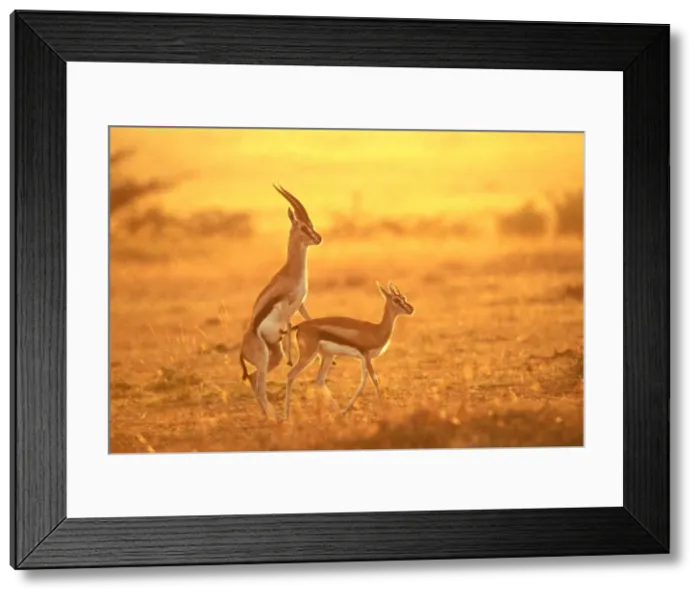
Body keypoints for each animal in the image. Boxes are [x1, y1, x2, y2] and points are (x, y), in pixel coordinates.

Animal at [238, 184, 322, 419]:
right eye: (303, 226)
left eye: (311, 224)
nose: (318, 238)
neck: (291, 272)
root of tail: (242, 349)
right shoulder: (285, 304)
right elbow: (290, 323)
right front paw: (292, 355)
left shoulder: (300, 303)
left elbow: (307, 319)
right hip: (265, 359)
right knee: (259, 385)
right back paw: (276, 418)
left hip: (272, 357)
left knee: (254, 379)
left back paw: (269, 416)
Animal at [284, 281, 414, 419]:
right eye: (396, 300)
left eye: (404, 298)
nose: (411, 309)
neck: (376, 330)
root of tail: (300, 326)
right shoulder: (367, 356)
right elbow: (375, 380)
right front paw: (385, 409)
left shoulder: (364, 359)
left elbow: (363, 382)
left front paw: (346, 410)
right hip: (308, 355)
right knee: (291, 375)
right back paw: (287, 416)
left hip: (328, 356)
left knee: (319, 379)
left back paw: (338, 412)